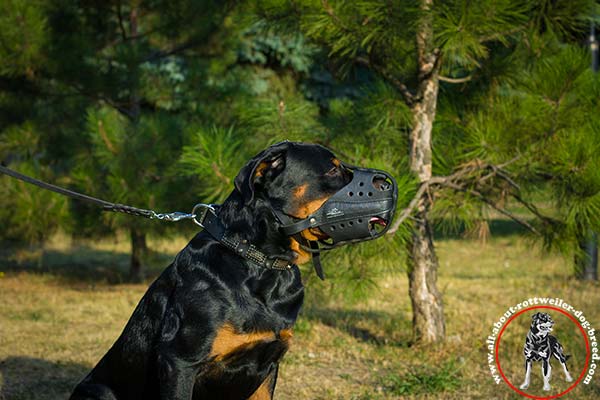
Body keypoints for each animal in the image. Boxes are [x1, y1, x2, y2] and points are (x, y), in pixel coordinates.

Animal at [70, 142, 396, 398]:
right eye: (332, 171)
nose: (388, 185)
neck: (260, 262)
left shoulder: (269, 365)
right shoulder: (180, 362)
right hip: (97, 392)